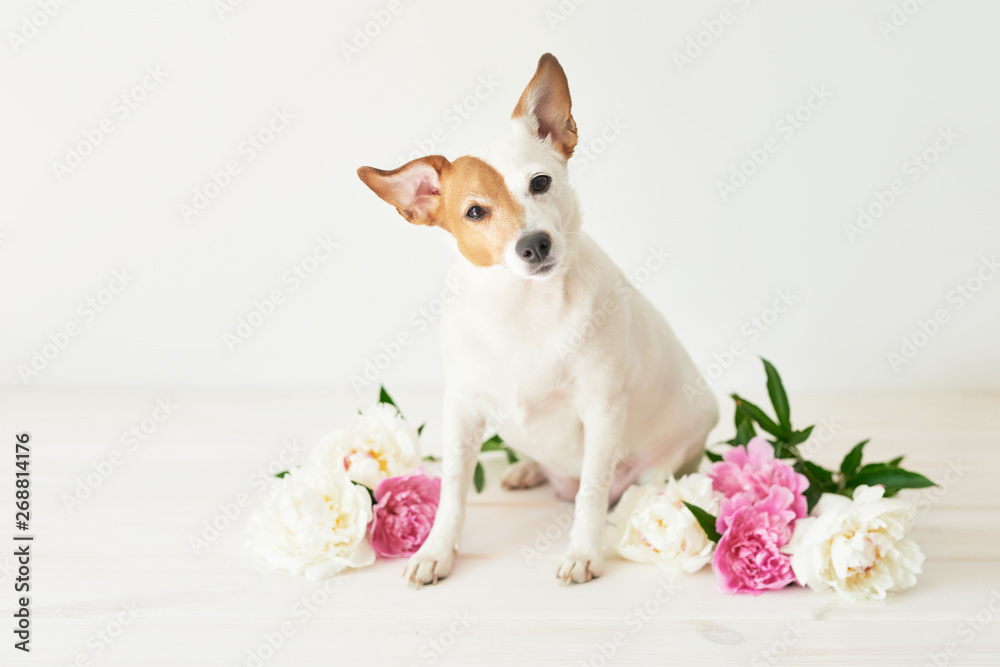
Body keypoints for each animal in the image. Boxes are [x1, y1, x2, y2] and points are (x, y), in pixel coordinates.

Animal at [360, 54, 720, 584]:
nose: (534, 244)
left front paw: (584, 552)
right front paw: (436, 550)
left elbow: (591, 493)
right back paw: (528, 468)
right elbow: (452, 492)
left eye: (540, 183)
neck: (523, 309)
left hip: (666, 458)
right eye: (474, 212)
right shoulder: (462, 410)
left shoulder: (602, 412)